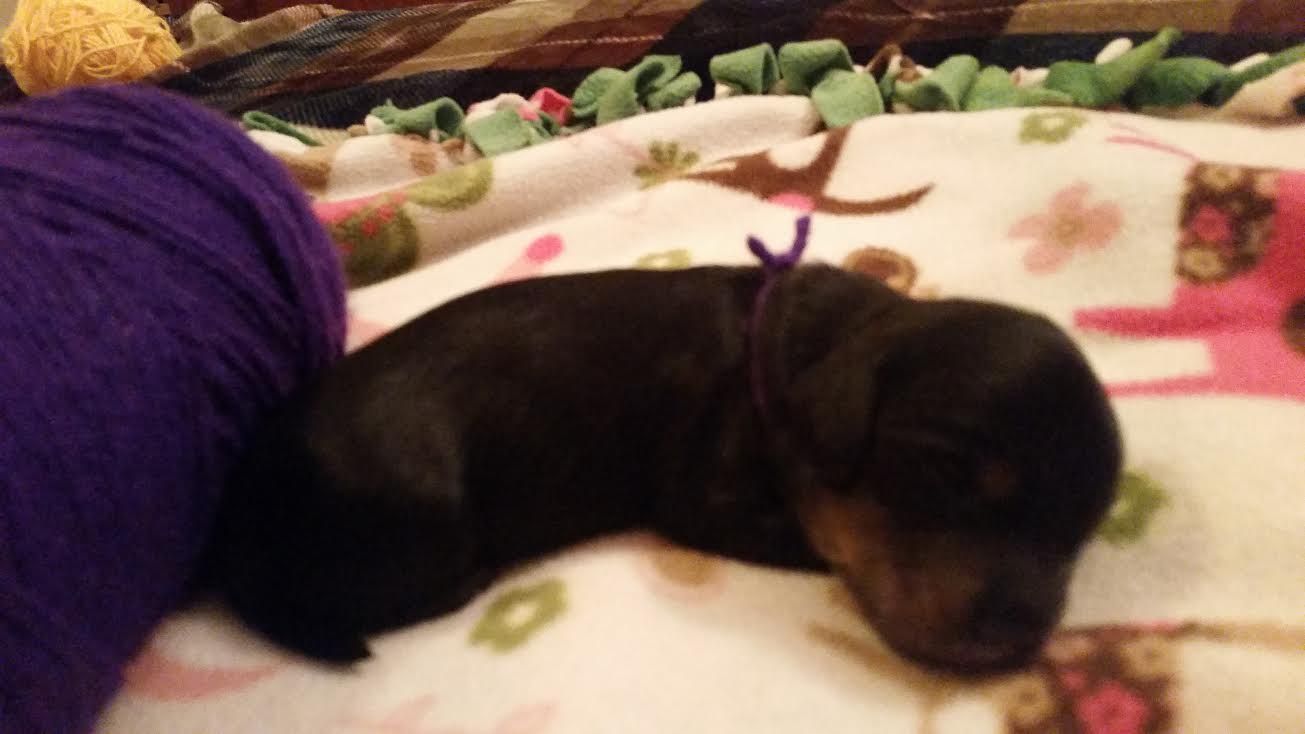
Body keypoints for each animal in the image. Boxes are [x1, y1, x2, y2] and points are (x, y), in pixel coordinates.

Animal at [209, 260, 1122, 674]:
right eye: (946, 472)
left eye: (1081, 534)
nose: (1025, 636)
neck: (804, 351)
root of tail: (237, 523)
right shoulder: (703, 495)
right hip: (427, 522)